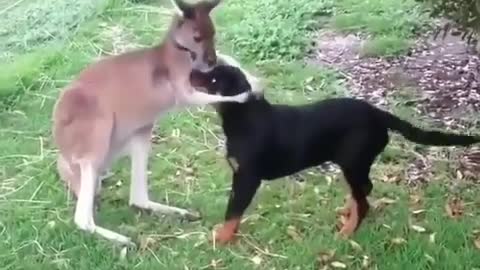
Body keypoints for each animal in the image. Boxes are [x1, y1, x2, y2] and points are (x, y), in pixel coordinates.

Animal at [52, 0, 260, 247]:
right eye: (197, 37)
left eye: (214, 33)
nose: (211, 60)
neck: (181, 54)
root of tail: (63, 150)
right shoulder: (183, 89)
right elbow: (202, 96)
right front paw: (243, 95)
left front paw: (250, 79)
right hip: (95, 132)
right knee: (82, 218)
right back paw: (124, 240)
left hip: (140, 131)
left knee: (137, 198)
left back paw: (181, 213)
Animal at [189, 64, 478, 244]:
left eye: (213, 80)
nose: (191, 71)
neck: (243, 118)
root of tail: (377, 114)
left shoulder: (247, 178)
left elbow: (232, 213)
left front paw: (221, 239)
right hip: (355, 164)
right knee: (364, 190)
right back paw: (348, 212)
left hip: (353, 162)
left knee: (364, 200)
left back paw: (346, 232)